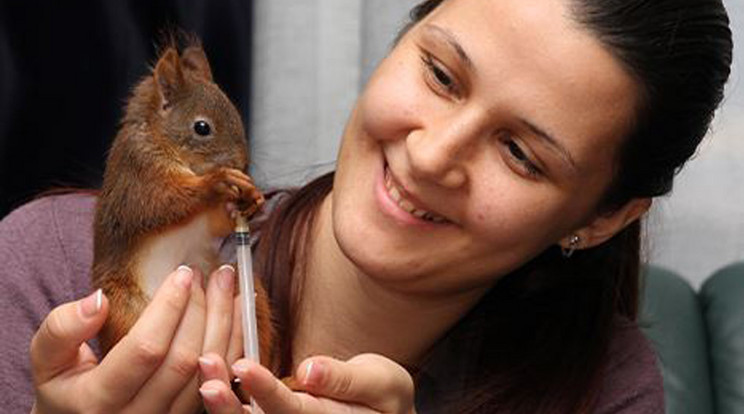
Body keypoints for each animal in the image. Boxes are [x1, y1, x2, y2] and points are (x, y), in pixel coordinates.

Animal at [92, 40, 278, 370]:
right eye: (202, 127)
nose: (241, 164)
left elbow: (214, 221)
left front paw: (251, 199)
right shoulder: (139, 174)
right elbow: (163, 203)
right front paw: (217, 181)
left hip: (246, 287)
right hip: (120, 305)